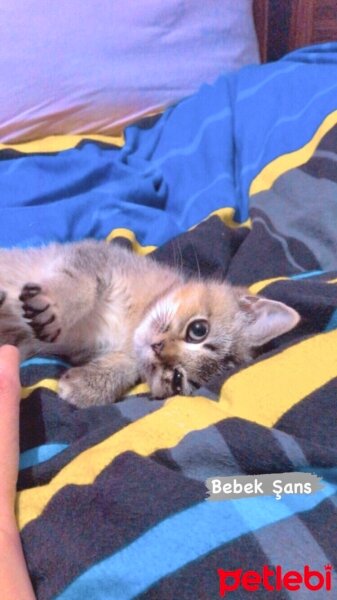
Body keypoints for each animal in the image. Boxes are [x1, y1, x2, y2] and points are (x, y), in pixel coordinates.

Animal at [0, 239, 300, 408]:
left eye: (178, 379)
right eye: (198, 330)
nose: (158, 348)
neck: (130, 322)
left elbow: (126, 366)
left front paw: (88, 387)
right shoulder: (95, 256)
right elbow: (81, 285)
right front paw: (52, 307)